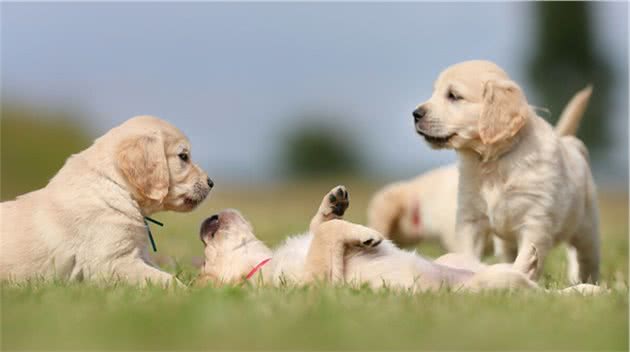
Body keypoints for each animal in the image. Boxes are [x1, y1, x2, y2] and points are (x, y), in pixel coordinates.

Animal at [0, 115, 215, 286]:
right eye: (183, 156)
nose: (211, 182)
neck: (115, 186)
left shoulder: (138, 255)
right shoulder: (113, 262)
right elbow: (165, 279)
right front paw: (186, 293)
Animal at [198, 187, 604, 294]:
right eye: (205, 262)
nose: (206, 221)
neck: (261, 266)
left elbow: (320, 225)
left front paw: (334, 203)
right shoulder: (318, 283)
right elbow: (326, 233)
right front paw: (368, 236)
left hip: (456, 257)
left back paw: (533, 259)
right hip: (489, 287)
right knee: (535, 290)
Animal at [414, 58, 604, 284]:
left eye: (453, 96)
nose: (415, 114)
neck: (493, 162)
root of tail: (570, 142)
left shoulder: (535, 223)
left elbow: (524, 260)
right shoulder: (470, 219)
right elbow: (467, 254)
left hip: (586, 230)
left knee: (587, 260)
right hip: (506, 244)